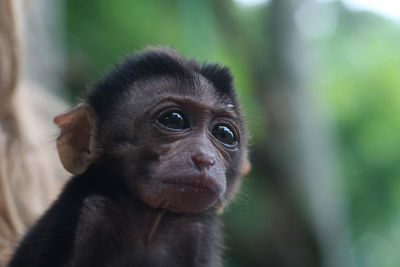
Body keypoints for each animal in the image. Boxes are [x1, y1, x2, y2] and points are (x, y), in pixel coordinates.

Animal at [7, 47, 248, 267]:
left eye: (224, 134)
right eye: (174, 120)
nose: (204, 158)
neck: (151, 224)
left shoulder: (199, 233)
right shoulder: (90, 218)